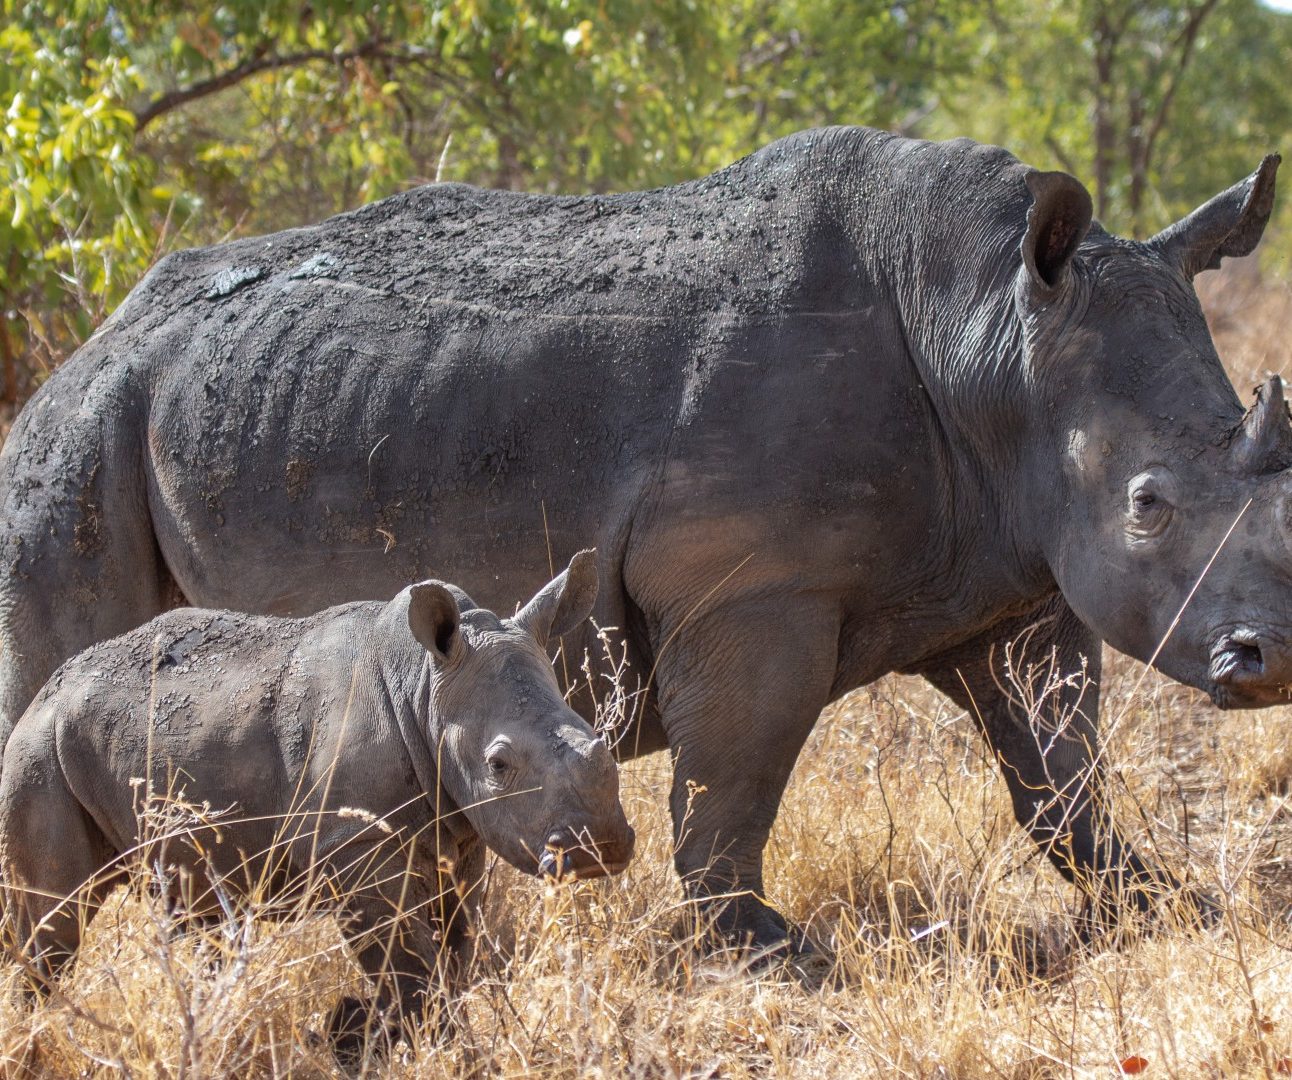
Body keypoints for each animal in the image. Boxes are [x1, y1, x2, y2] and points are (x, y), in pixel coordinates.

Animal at [0, 126, 1284, 954]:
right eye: (1147, 502)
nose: (1266, 659)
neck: (988, 335)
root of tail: (93, 341)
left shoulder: (1009, 573)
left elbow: (1056, 768)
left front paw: (1159, 907)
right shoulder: (750, 589)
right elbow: (736, 776)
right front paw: (763, 948)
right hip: (76, 443)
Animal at [0, 551, 633, 1048]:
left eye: (598, 738)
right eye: (499, 765)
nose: (600, 847)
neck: (425, 688)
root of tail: (43, 694)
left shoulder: (461, 833)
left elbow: (456, 949)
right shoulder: (354, 848)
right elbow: (410, 966)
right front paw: (422, 1044)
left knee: (193, 910)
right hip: (39, 752)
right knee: (53, 923)